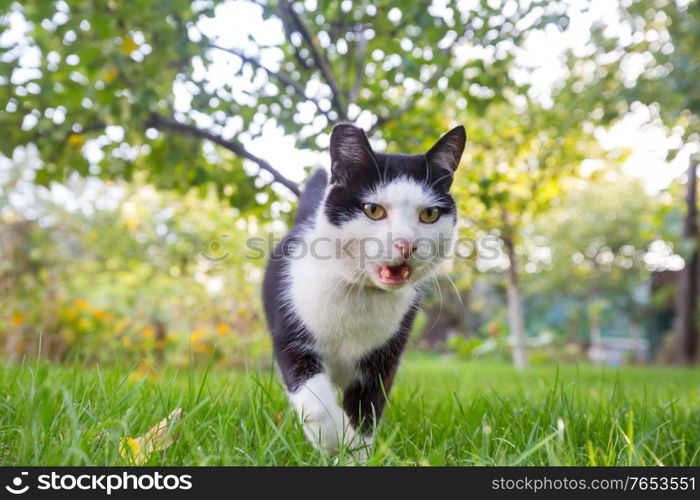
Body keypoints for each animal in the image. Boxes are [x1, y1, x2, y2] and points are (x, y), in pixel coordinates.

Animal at [262, 122, 464, 460]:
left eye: (429, 215)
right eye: (373, 210)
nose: (406, 244)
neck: (359, 295)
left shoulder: (385, 356)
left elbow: (367, 407)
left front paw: (355, 453)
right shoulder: (291, 332)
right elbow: (315, 399)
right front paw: (333, 437)